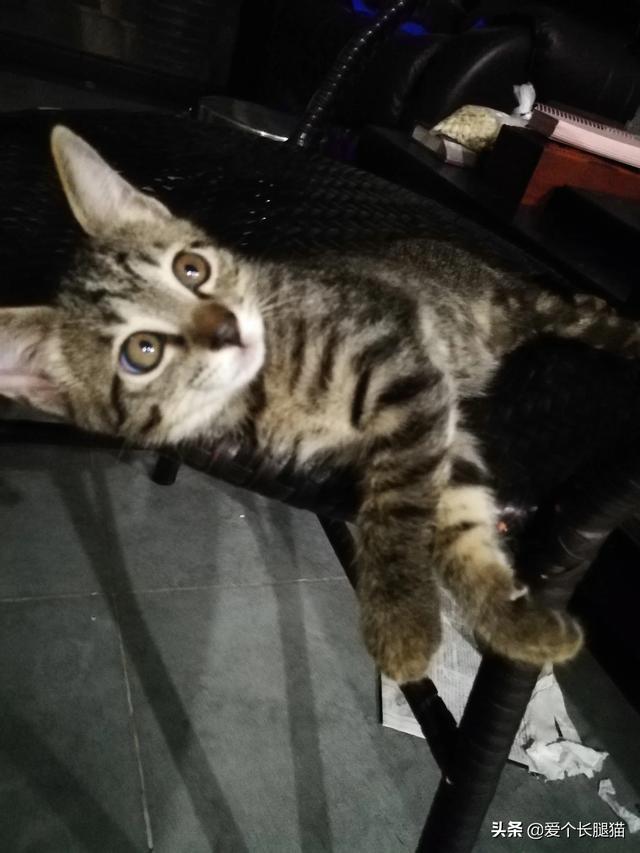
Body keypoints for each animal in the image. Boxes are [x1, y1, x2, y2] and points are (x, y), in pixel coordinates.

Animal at [1, 125, 637, 683]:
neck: (268, 387)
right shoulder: (439, 428)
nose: (227, 326)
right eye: (143, 352)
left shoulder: (403, 367)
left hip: (508, 305)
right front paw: (515, 624)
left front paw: (402, 622)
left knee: (575, 312)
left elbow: (399, 507)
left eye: (192, 268)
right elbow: (457, 519)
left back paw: (624, 330)